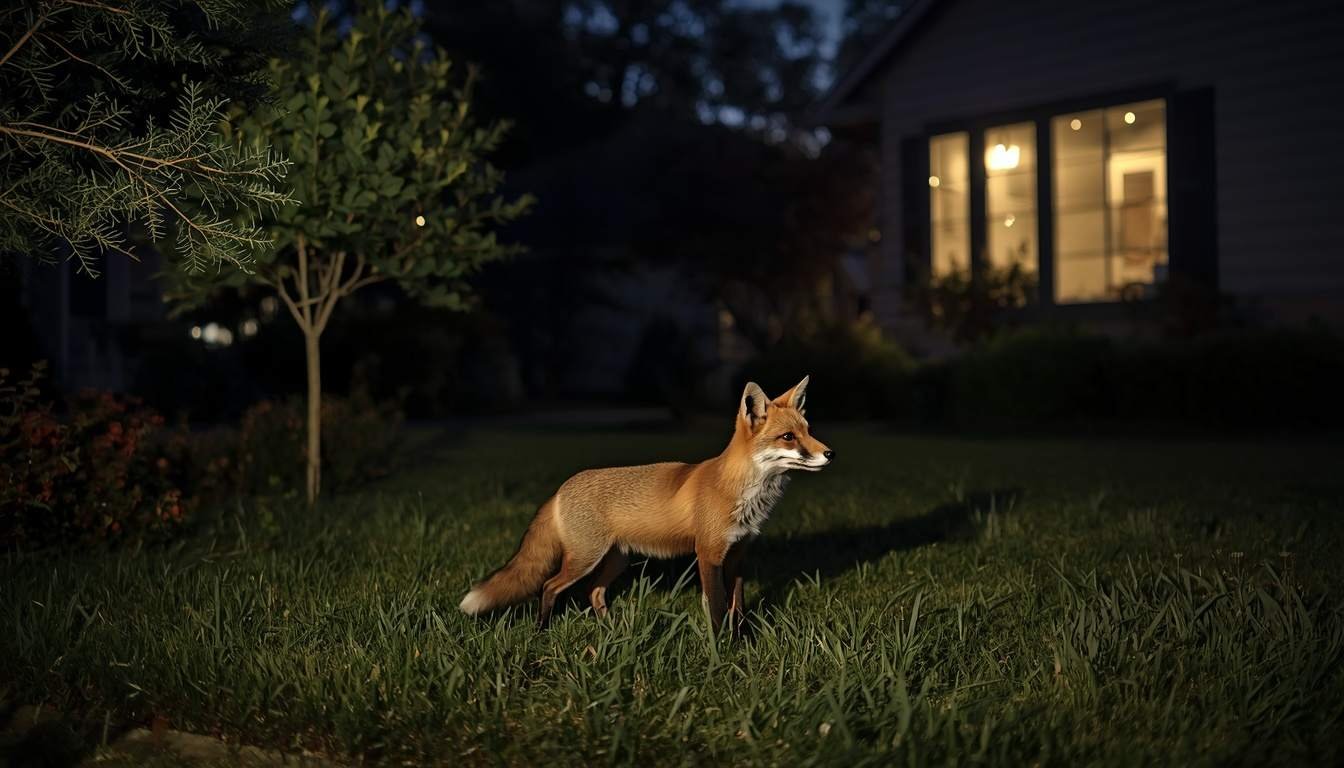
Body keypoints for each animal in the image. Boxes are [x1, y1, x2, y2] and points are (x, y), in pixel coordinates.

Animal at [458, 376, 832, 631]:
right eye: (788, 437)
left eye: (808, 430)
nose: (830, 454)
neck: (743, 493)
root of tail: (561, 488)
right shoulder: (708, 554)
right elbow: (716, 608)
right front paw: (722, 650)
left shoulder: (738, 554)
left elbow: (736, 608)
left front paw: (741, 641)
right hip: (585, 559)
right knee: (550, 587)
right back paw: (542, 630)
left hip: (615, 560)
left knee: (593, 592)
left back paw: (610, 632)